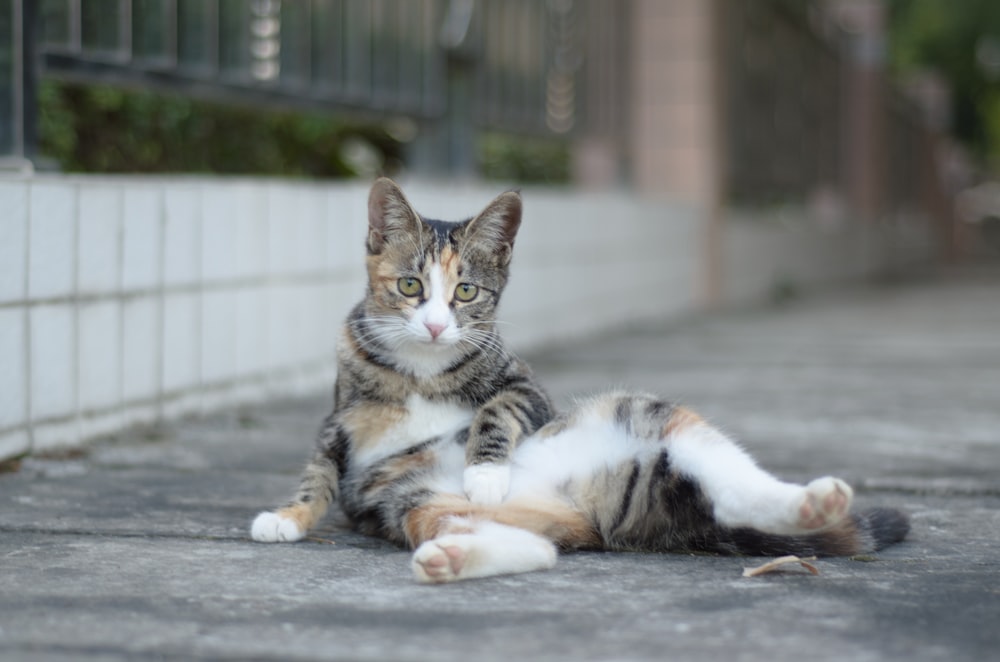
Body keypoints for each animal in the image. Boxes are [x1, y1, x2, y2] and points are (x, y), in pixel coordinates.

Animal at [248, 179, 908, 584]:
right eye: (410, 286)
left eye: (466, 292)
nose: (435, 325)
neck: (422, 371)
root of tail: (584, 510)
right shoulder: (340, 414)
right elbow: (320, 470)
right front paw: (288, 516)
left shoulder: (526, 386)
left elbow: (498, 409)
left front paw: (485, 472)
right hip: (412, 499)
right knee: (536, 551)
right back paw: (451, 557)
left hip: (637, 412)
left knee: (731, 484)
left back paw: (814, 502)